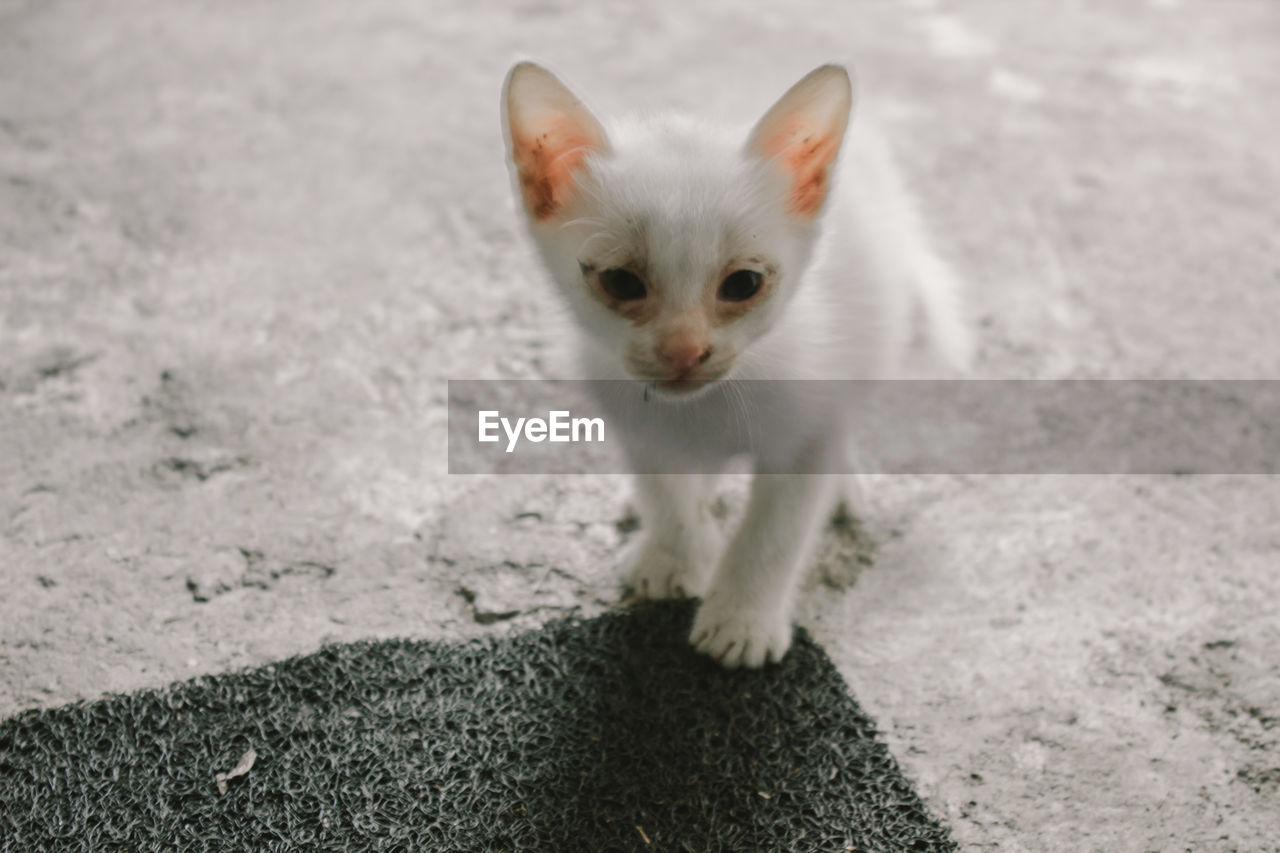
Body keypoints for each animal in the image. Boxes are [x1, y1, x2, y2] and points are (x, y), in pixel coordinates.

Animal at [499, 63, 967, 666]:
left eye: (743, 283)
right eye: (621, 282)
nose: (683, 351)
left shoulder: (809, 432)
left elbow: (776, 530)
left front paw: (742, 619)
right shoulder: (635, 417)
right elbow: (665, 490)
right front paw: (675, 554)